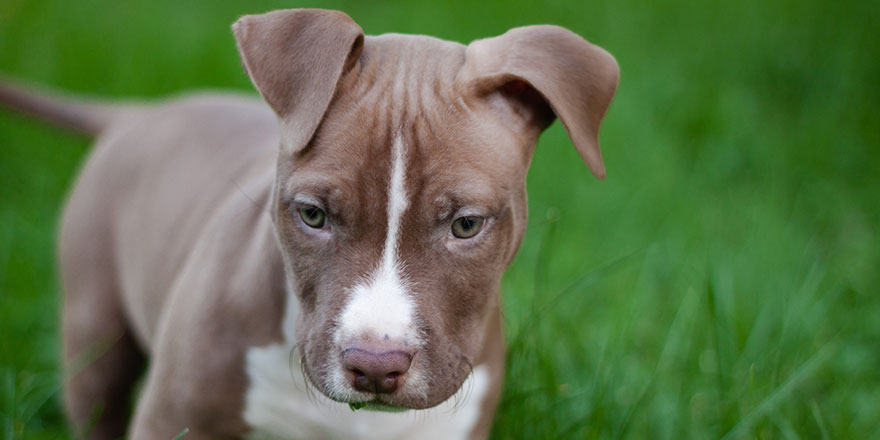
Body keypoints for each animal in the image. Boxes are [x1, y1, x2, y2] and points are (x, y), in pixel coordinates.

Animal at [0, 6, 620, 440]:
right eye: (313, 215)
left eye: (466, 225)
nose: (375, 366)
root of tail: (140, 112)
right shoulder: (172, 417)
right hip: (93, 321)